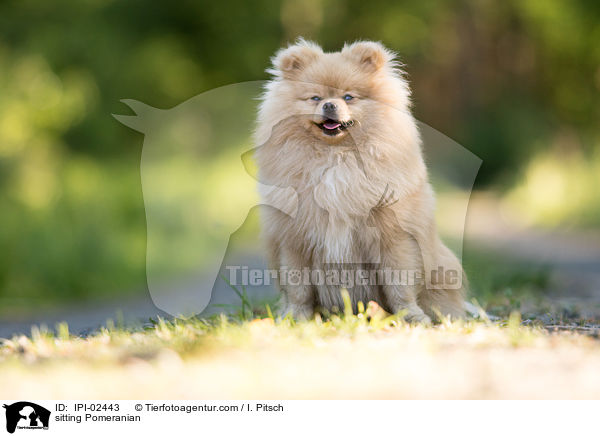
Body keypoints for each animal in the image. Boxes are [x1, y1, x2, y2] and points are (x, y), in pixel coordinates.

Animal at [255, 39, 466, 322]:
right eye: (315, 98)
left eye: (348, 97)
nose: (329, 105)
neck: (336, 157)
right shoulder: (294, 240)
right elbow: (299, 288)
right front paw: (296, 318)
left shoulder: (393, 237)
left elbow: (399, 284)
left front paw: (410, 316)